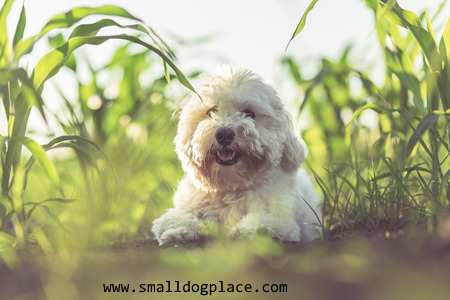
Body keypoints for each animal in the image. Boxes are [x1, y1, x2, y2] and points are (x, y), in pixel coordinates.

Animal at [153, 67, 322, 245]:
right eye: (211, 111)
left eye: (249, 113)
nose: (224, 134)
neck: (232, 188)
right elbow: (181, 216)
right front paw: (178, 229)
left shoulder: (280, 218)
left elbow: (264, 221)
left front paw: (247, 231)